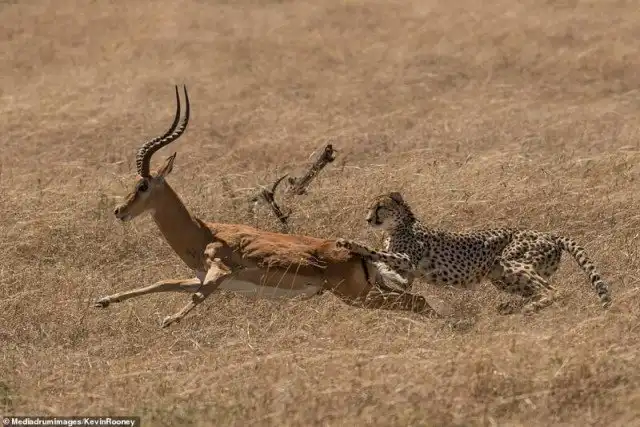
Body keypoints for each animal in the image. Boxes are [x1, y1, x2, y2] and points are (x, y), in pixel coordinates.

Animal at [94, 85, 434, 328]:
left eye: (143, 185)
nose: (119, 211)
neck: (204, 233)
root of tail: (358, 253)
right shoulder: (200, 275)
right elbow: (161, 283)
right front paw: (103, 300)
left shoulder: (220, 271)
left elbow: (199, 296)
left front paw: (168, 320)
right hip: (370, 292)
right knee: (418, 301)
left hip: (358, 296)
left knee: (419, 302)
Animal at [335, 192, 611, 314]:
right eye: (370, 207)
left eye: (379, 207)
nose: (368, 219)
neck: (399, 226)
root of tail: (549, 234)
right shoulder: (406, 276)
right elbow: (395, 276)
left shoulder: (406, 260)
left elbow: (378, 253)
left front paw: (351, 244)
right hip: (502, 275)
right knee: (539, 289)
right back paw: (512, 306)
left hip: (510, 263)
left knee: (555, 290)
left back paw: (528, 307)